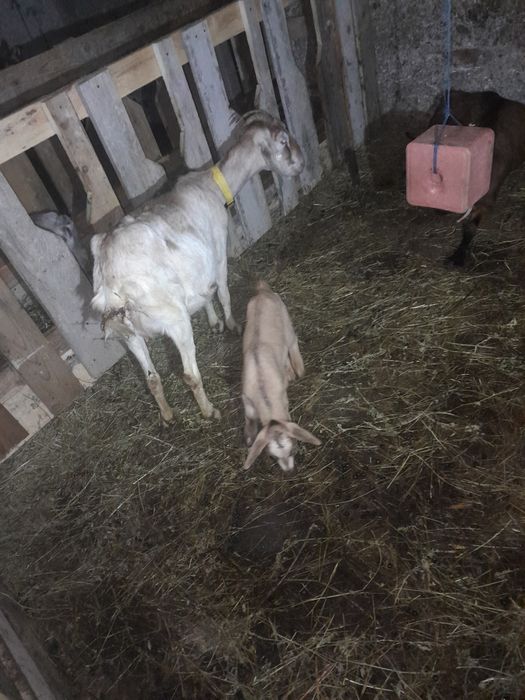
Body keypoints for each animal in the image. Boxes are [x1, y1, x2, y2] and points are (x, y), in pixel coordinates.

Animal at [91, 111, 304, 423]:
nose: (301, 164)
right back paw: (209, 410)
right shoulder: (218, 249)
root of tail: (111, 284)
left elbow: (205, 293)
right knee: (190, 375)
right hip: (175, 321)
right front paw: (231, 324)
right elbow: (223, 289)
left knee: (152, 378)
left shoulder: (198, 268)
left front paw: (214, 322)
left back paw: (168, 416)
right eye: (284, 141)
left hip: (129, 336)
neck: (213, 184)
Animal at [242, 280, 320, 472]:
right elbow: (249, 417)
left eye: (293, 450)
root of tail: (263, 290)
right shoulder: (247, 399)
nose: (289, 472)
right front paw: (248, 437)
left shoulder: (282, 397)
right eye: (272, 456)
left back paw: (298, 369)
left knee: (292, 342)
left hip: (286, 320)